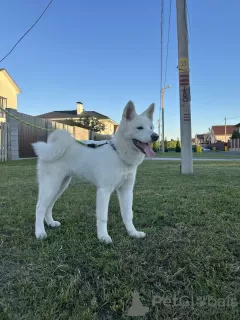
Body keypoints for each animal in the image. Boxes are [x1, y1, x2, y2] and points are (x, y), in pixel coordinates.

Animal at [32, 101, 159, 244]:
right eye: (139, 128)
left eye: (151, 127)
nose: (156, 136)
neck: (118, 153)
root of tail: (50, 147)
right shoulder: (104, 191)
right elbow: (103, 217)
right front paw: (103, 237)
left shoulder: (126, 191)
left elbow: (128, 214)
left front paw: (133, 233)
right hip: (51, 186)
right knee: (39, 208)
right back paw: (40, 232)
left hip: (60, 186)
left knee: (48, 206)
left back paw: (50, 223)